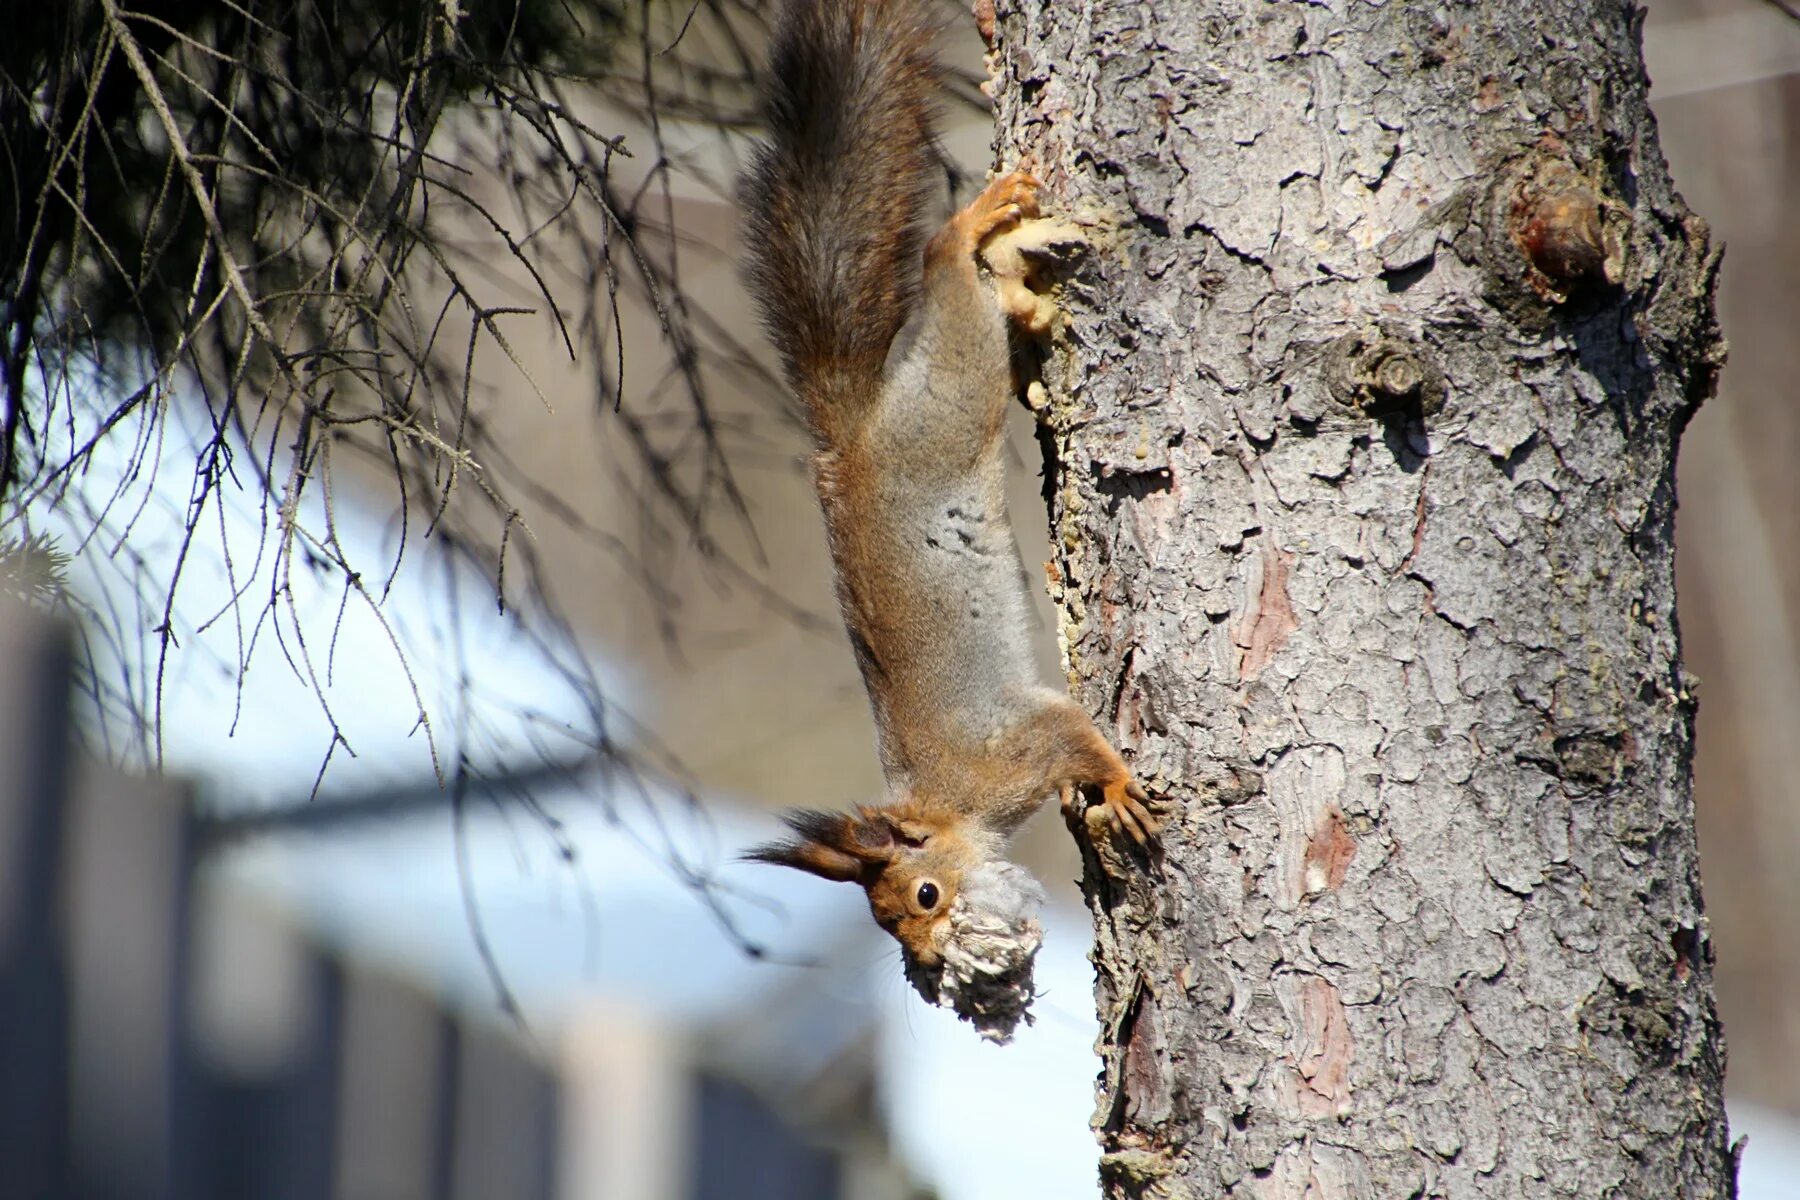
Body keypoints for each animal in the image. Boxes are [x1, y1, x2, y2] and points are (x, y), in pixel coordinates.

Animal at [738, 0, 1159, 978]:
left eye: (925, 895)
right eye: (891, 922)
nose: (930, 965)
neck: (950, 802)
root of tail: (851, 437)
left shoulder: (1021, 742)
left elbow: (1077, 739)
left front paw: (1119, 786)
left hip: (951, 395)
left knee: (943, 263)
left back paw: (971, 229)